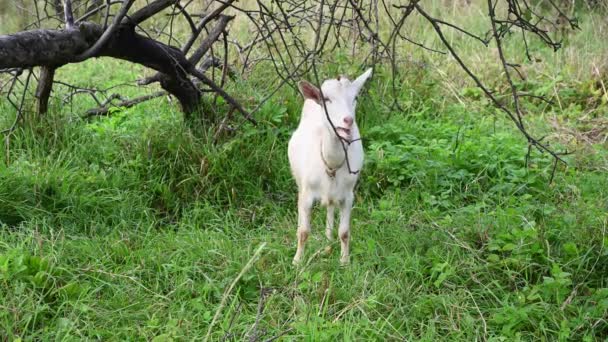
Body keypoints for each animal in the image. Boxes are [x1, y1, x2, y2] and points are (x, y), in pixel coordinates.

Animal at [288, 69, 370, 264]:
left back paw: (327, 241)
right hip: (300, 184)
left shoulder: (348, 196)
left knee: (331, 208)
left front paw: (344, 262)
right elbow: (304, 232)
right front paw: (297, 261)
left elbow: (345, 233)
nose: (348, 120)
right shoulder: (308, 194)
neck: (331, 164)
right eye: (326, 99)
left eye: (355, 97)